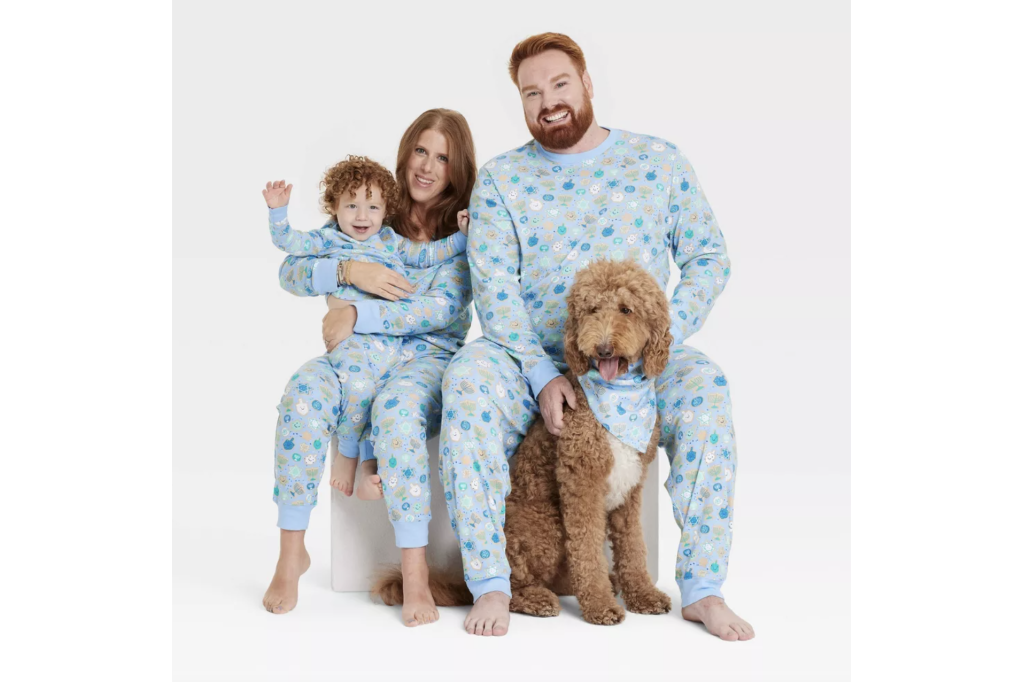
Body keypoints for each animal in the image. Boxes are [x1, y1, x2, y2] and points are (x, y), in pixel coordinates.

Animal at [503, 259, 671, 625]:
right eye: (592, 310)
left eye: (626, 309)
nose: (603, 348)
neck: (618, 396)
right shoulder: (582, 483)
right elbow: (588, 550)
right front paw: (600, 605)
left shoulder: (631, 488)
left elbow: (633, 546)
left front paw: (643, 594)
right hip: (546, 527)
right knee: (511, 582)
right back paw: (535, 599)